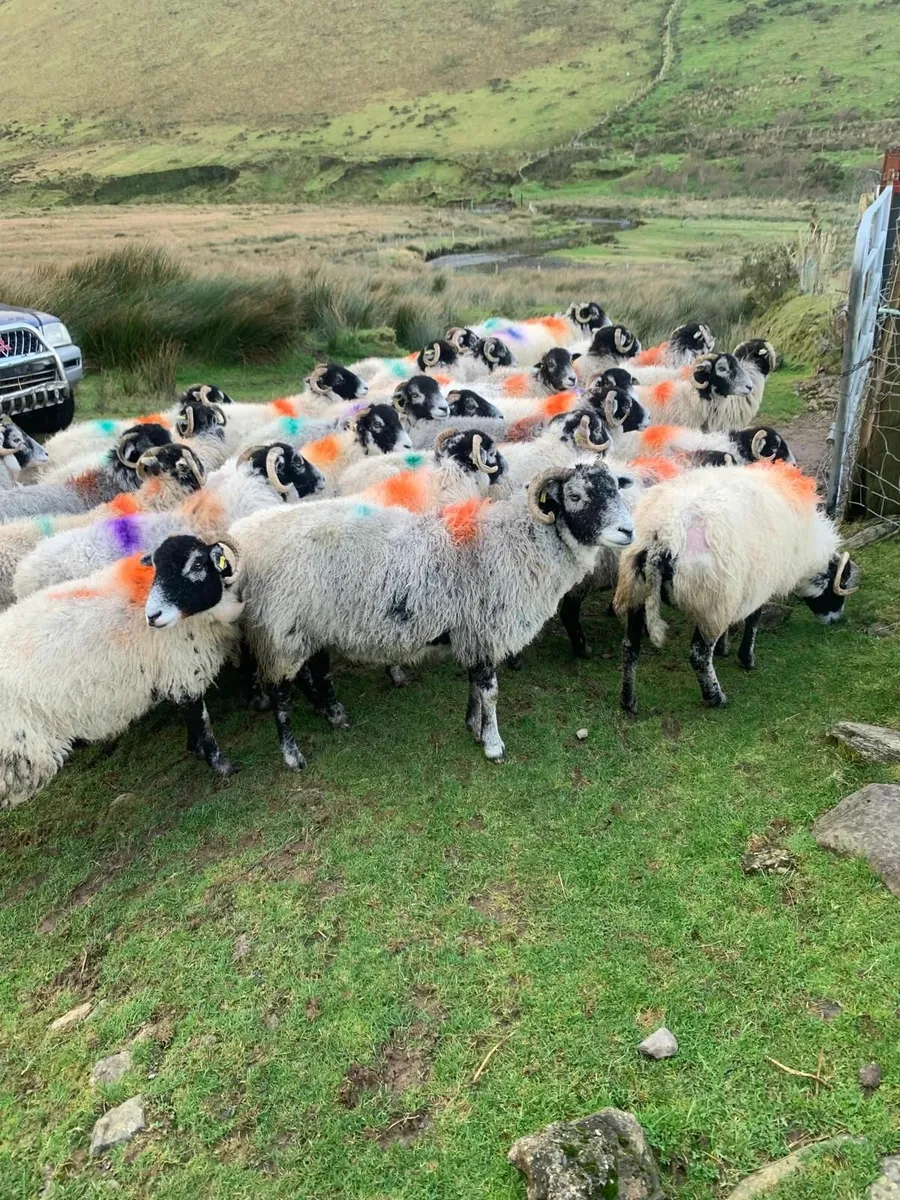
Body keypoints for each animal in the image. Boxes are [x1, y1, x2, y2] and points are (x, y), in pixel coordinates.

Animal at [0, 535, 244, 809]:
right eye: (156, 568)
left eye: (198, 563)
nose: (153, 616)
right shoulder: (185, 668)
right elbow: (202, 720)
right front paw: (222, 765)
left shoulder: (178, 674)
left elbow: (190, 717)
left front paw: (196, 750)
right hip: (17, 743)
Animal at [231, 459, 633, 764]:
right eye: (576, 495)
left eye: (616, 489)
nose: (628, 531)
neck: (517, 542)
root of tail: (244, 535)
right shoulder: (486, 629)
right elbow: (490, 692)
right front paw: (493, 745)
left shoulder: (472, 633)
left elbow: (474, 686)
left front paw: (473, 727)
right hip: (281, 631)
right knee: (281, 695)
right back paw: (291, 754)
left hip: (309, 628)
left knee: (314, 671)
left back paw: (333, 714)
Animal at [613, 460, 861, 713]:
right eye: (838, 586)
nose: (836, 619)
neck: (804, 548)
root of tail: (664, 534)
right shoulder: (757, 583)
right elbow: (754, 620)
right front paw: (747, 658)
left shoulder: (735, 589)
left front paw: (724, 648)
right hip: (709, 600)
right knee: (698, 655)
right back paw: (716, 697)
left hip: (636, 592)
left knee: (629, 647)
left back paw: (628, 701)